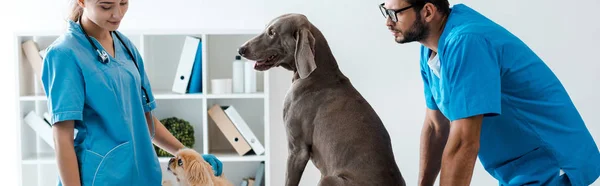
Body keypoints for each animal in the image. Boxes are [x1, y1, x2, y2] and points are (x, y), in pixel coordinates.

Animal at [237, 13, 406, 186]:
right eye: (266, 29)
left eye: (272, 33)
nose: (240, 49)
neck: (316, 74)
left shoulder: (297, 149)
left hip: (330, 178)